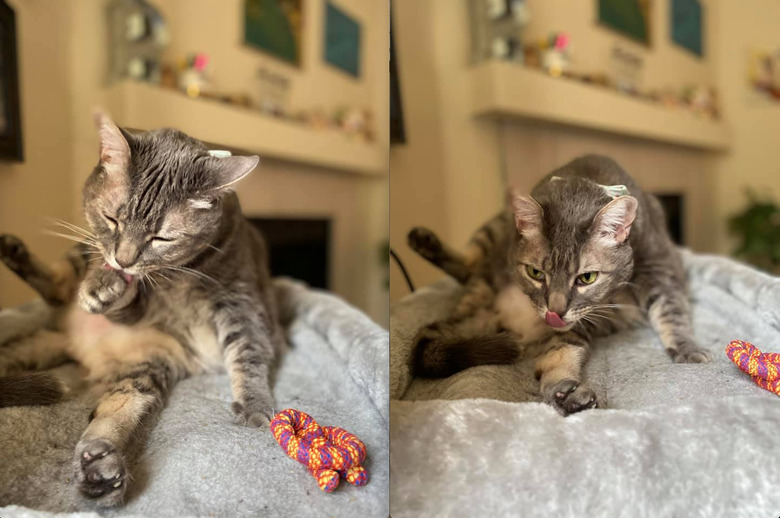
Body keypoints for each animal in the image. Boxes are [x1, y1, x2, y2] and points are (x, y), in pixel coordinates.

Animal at [0, 114, 284, 508]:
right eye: (112, 219)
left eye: (161, 238)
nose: (123, 260)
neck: (173, 278)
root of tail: (75, 347)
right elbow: (113, 291)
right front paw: (107, 283)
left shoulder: (241, 301)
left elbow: (249, 351)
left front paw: (255, 403)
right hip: (80, 256)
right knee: (57, 289)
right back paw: (14, 251)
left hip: (145, 370)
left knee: (116, 411)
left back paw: (102, 470)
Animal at [406, 155, 708, 418]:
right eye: (535, 273)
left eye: (587, 278)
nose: (554, 311)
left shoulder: (661, 267)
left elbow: (671, 310)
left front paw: (688, 348)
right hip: (491, 240)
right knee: (471, 267)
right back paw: (423, 241)